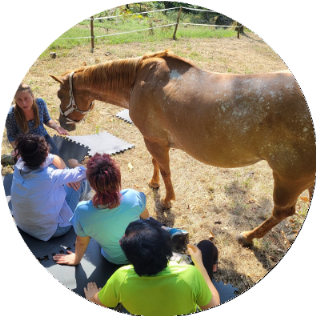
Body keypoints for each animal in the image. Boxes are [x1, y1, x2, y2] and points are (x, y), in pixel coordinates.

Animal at [50, 50, 314, 247]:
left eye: (60, 94)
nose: (64, 124)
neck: (139, 79)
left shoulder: (154, 141)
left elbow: (165, 169)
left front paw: (167, 200)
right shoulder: (153, 139)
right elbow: (156, 164)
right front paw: (154, 184)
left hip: (289, 178)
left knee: (283, 212)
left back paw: (248, 236)